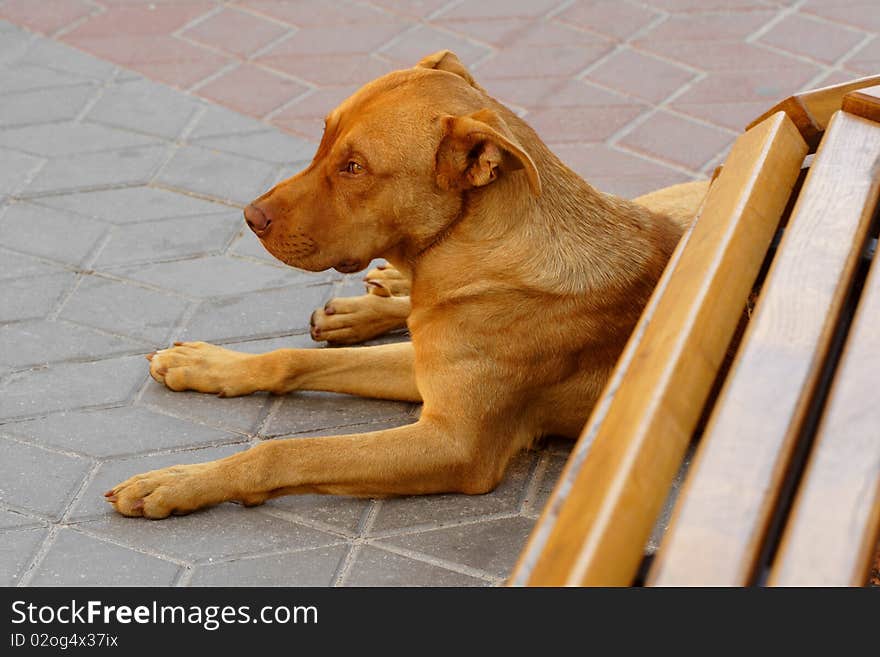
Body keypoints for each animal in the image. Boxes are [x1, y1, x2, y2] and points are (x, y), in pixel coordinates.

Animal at [105, 50, 708, 516]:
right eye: (324, 139)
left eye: (354, 167)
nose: (250, 217)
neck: (470, 258)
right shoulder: (424, 365)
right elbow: (291, 359)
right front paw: (210, 364)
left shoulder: (455, 443)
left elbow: (288, 451)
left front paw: (179, 481)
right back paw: (372, 299)